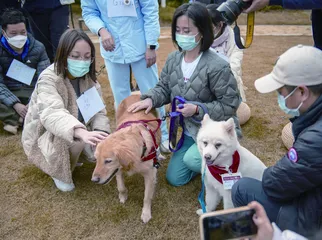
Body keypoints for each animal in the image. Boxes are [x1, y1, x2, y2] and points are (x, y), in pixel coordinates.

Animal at [92, 95, 164, 223]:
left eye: (108, 161)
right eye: (96, 160)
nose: (94, 180)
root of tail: (135, 94)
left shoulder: (150, 174)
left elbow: (147, 197)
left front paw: (146, 213)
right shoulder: (118, 170)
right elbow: (120, 187)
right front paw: (123, 196)